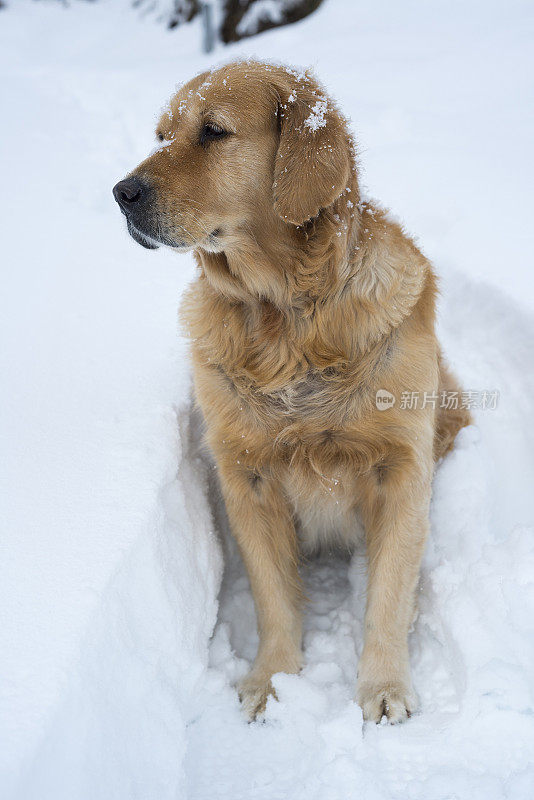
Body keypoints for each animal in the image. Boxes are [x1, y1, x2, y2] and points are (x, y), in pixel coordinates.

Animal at [114, 61, 474, 724]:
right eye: (161, 135)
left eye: (213, 131)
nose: (121, 193)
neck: (286, 319)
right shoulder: (246, 476)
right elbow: (272, 596)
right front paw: (273, 682)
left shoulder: (401, 468)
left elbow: (389, 594)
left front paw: (384, 687)